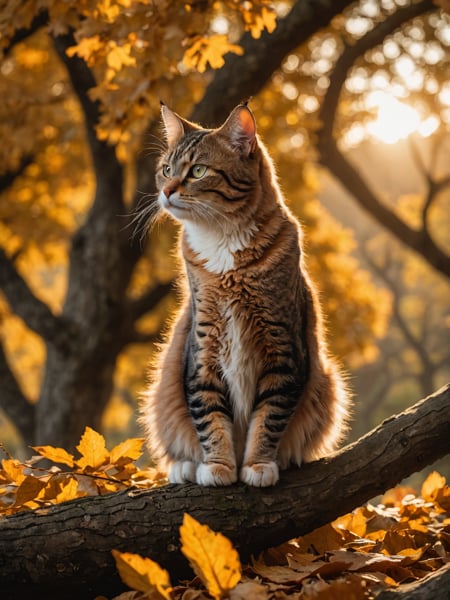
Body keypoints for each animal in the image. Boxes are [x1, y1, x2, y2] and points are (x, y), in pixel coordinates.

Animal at [139, 103, 350, 488]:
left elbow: (269, 417)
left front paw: (257, 464)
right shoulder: (203, 349)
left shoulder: (282, 350)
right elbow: (209, 415)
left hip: (327, 386)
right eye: (166, 170)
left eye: (198, 171)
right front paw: (219, 466)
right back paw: (185, 467)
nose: (167, 192)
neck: (224, 247)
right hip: (162, 391)